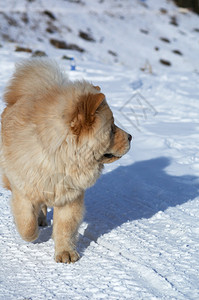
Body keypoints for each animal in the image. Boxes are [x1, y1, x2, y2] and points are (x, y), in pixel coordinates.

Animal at [0, 59, 132, 264]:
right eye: (111, 128)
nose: (130, 137)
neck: (58, 156)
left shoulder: (70, 197)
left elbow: (66, 228)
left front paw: (66, 254)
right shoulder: (24, 191)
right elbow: (27, 225)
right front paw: (34, 235)